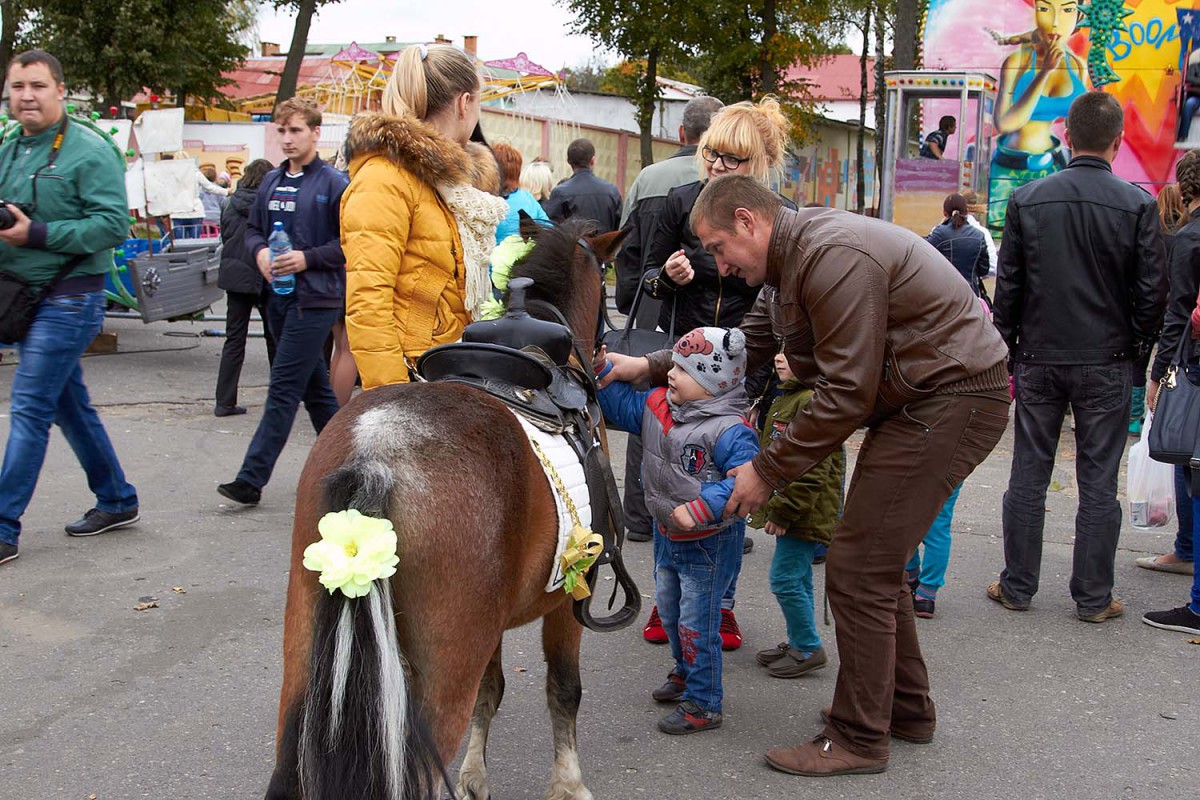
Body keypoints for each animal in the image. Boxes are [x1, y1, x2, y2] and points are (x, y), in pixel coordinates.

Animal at [265, 219, 628, 800]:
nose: (605, 354)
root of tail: (376, 454)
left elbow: (493, 689)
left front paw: (475, 777)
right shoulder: (572, 594)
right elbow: (563, 689)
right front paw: (567, 784)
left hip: (304, 661)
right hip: (443, 673)